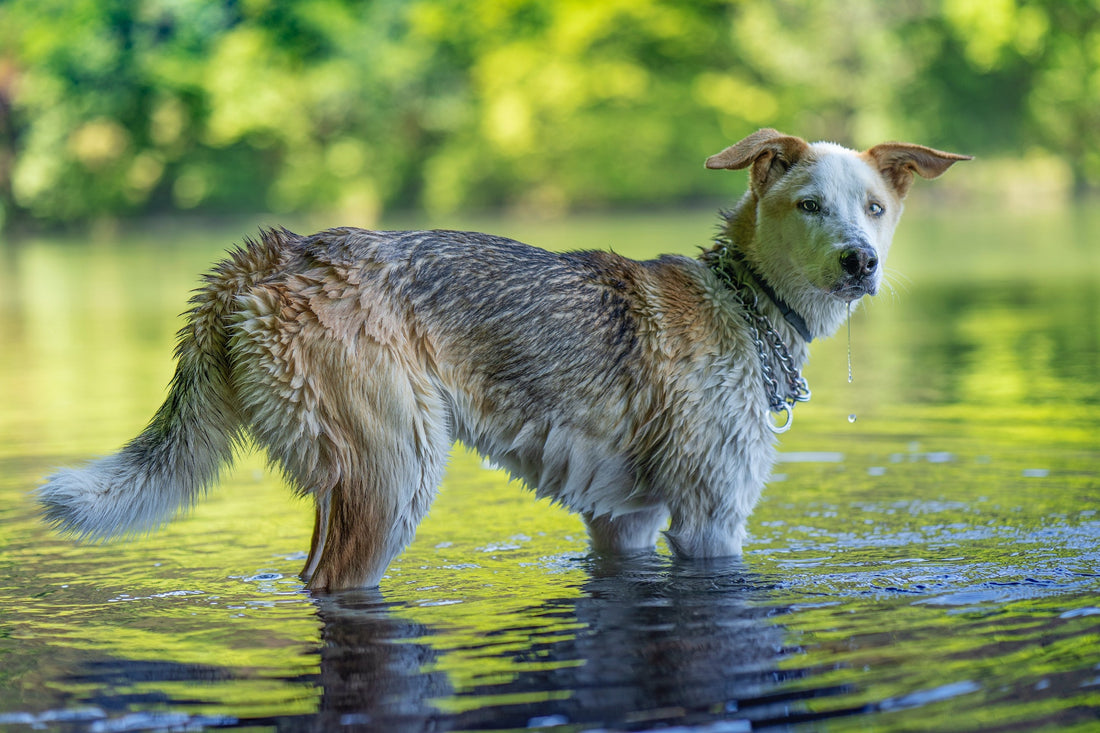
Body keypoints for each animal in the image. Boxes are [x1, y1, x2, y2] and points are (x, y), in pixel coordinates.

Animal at [34, 129, 968, 589]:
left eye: (874, 207)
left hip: (352, 478)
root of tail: (278, 251)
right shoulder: (710, 522)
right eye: (808, 204)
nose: (861, 262)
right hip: (393, 474)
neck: (743, 299)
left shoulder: (624, 522)